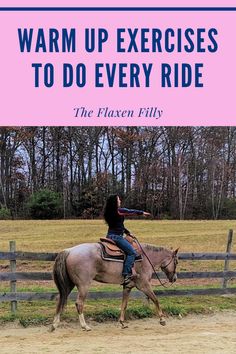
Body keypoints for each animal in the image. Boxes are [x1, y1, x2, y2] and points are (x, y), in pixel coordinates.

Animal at [50, 242, 178, 330]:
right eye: (176, 262)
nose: (174, 278)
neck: (145, 258)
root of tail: (69, 251)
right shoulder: (144, 285)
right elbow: (156, 299)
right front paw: (162, 320)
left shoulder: (127, 286)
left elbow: (124, 305)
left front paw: (122, 322)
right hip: (83, 285)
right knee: (79, 303)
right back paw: (85, 326)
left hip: (69, 284)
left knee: (61, 299)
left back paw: (54, 324)